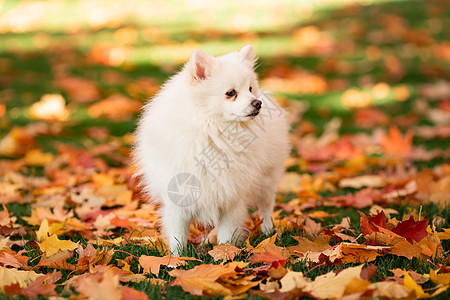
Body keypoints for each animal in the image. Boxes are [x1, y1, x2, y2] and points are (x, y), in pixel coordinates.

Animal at [133, 45, 288, 255]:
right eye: (230, 93)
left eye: (249, 89)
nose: (257, 102)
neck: (214, 132)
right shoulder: (177, 198)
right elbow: (177, 236)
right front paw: (176, 258)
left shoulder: (231, 196)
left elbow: (227, 235)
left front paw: (225, 255)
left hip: (266, 179)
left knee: (266, 206)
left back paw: (268, 230)